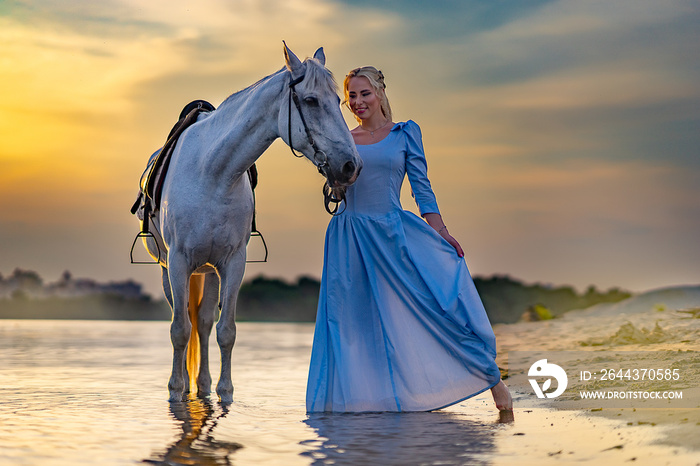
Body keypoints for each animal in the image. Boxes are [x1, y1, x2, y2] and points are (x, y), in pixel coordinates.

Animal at [140, 42, 364, 404]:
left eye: (338, 100)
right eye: (311, 100)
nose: (350, 166)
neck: (213, 172)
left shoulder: (233, 263)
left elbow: (225, 330)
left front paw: (224, 392)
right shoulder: (178, 261)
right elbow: (179, 330)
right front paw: (176, 390)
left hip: (208, 270)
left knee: (204, 323)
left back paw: (202, 385)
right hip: (171, 269)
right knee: (185, 321)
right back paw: (186, 386)